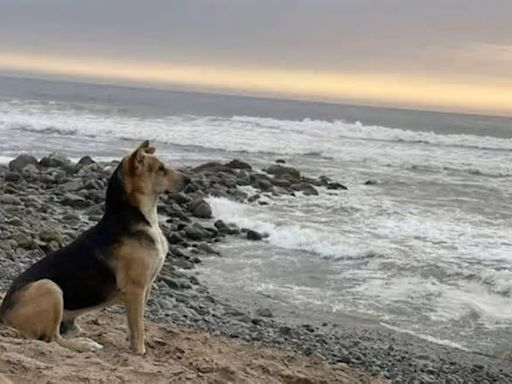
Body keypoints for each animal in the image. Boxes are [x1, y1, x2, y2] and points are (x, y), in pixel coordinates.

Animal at [0, 141, 188, 354]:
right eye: (161, 169)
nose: (189, 179)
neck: (137, 217)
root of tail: (3, 313)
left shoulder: (145, 288)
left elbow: (134, 323)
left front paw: (131, 341)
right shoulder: (136, 289)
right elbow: (138, 326)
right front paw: (139, 350)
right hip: (50, 287)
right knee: (52, 339)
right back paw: (85, 344)